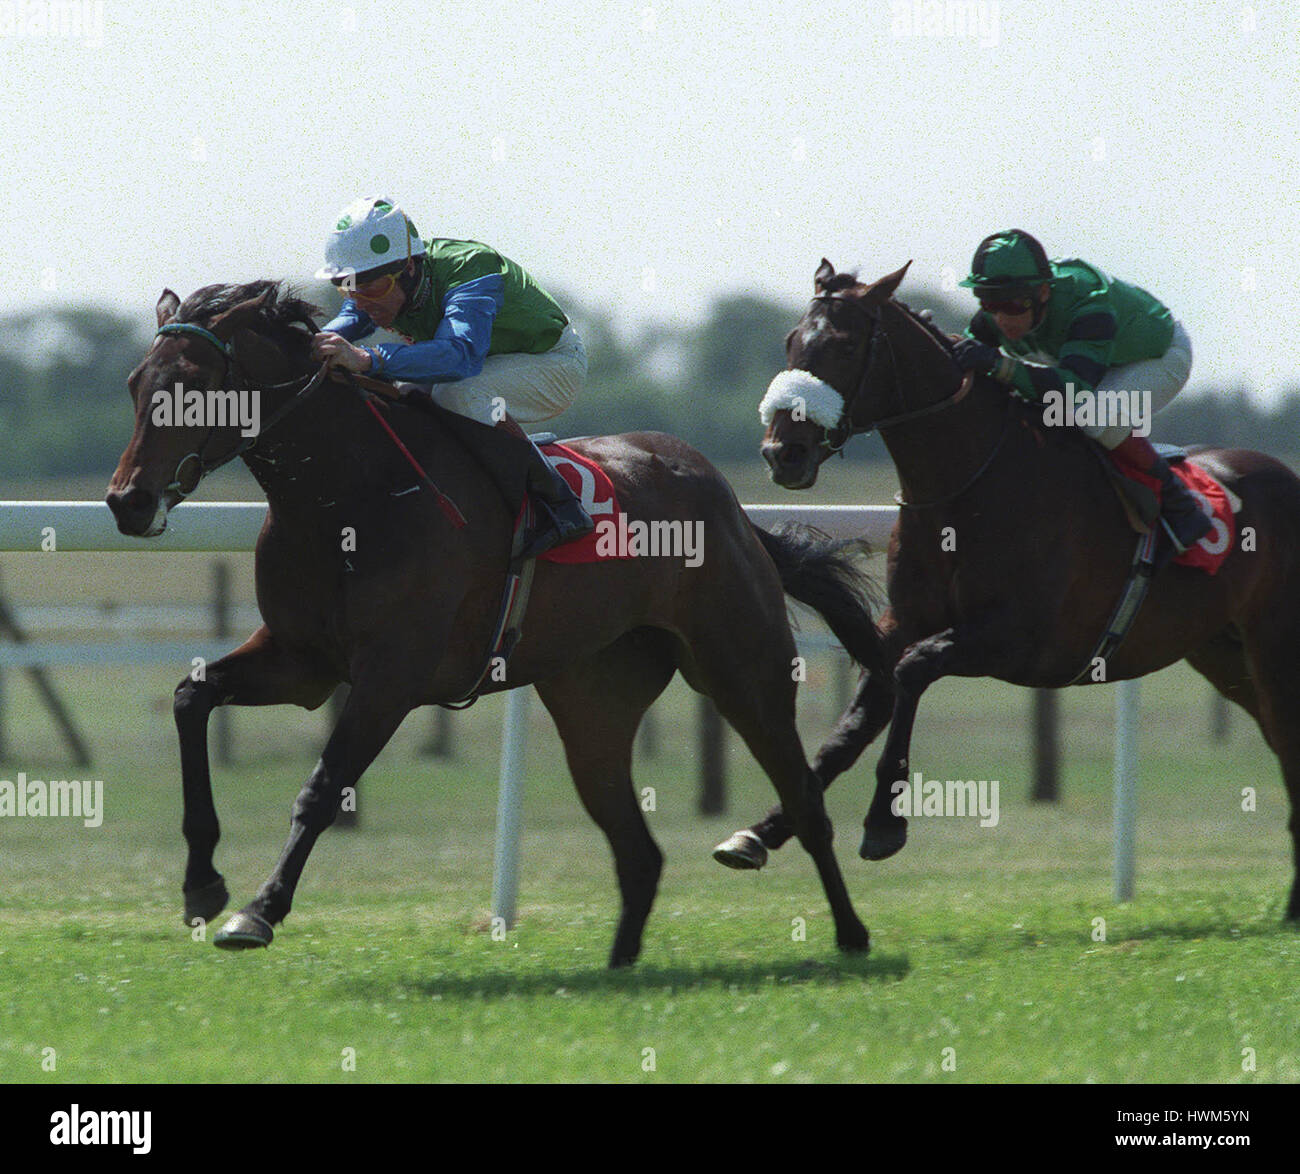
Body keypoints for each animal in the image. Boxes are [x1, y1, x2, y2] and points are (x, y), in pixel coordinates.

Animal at [106, 279, 889, 967]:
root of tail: (728, 504)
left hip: (742, 670)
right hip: (594, 701)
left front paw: (258, 910)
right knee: (639, 851)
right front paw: (202, 884)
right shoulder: (301, 661)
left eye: (194, 389)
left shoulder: (391, 677)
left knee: (806, 802)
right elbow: (190, 697)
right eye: (137, 384)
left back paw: (851, 936)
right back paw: (620, 967)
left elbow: (322, 789)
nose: (127, 501)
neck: (349, 497)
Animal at [717, 261, 1300, 920]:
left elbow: (913, 671)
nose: (781, 452)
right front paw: (759, 832)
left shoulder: (1023, 640)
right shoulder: (898, 625)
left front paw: (885, 823)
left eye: (842, 346)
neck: (969, 485)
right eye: (791, 341)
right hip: (1224, 656)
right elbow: (854, 724)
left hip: (1275, 647)